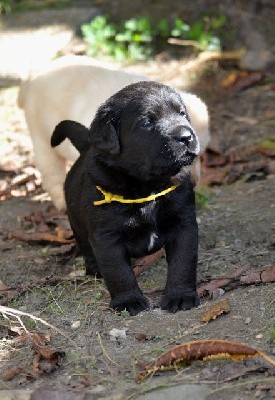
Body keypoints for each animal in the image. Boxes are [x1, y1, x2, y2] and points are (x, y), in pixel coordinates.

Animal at [51, 80, 202, 316]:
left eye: (182, 113)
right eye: (147, 122)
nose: (187, 136)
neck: (147, 187)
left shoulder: (184, 224)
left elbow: (183, 262)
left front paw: (180, 296)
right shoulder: (107, 236)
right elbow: (118, 271)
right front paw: (128, 301)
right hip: (76, 221)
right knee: (85, 244)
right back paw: (94, 266)